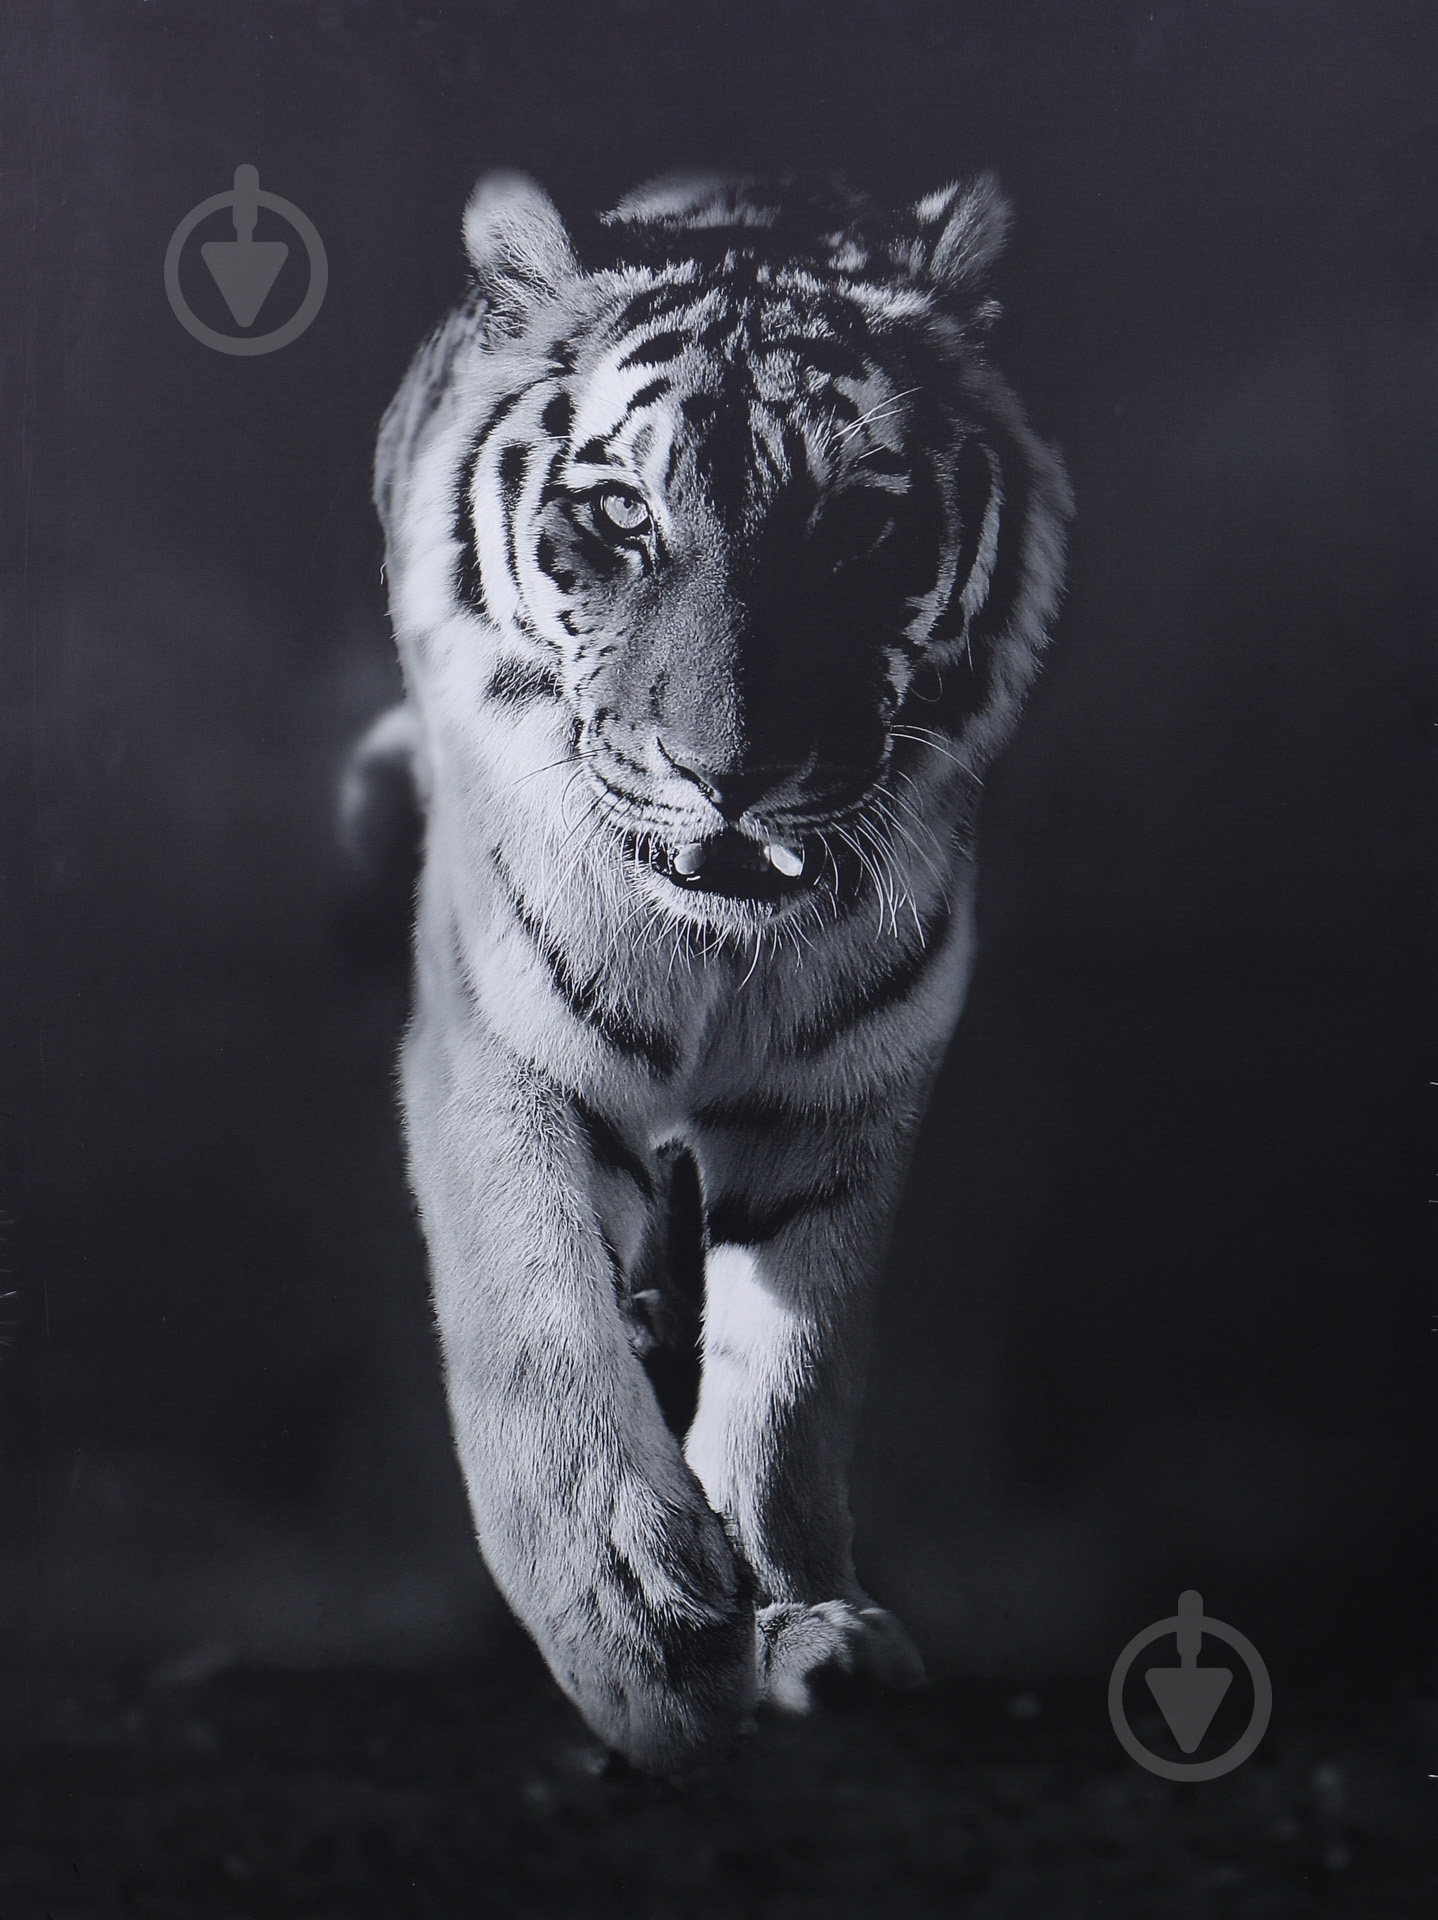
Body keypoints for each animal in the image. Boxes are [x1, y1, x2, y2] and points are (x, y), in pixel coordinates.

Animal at [360, 168, 1071, 1774]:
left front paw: (803, 1623)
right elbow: (533, 1331)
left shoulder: (847, 1090)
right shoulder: (504, 1047)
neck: (720, 954)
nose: (728, 777)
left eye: (857, 525)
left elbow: (791, 1380)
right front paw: (643, 1639)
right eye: (622, 513)